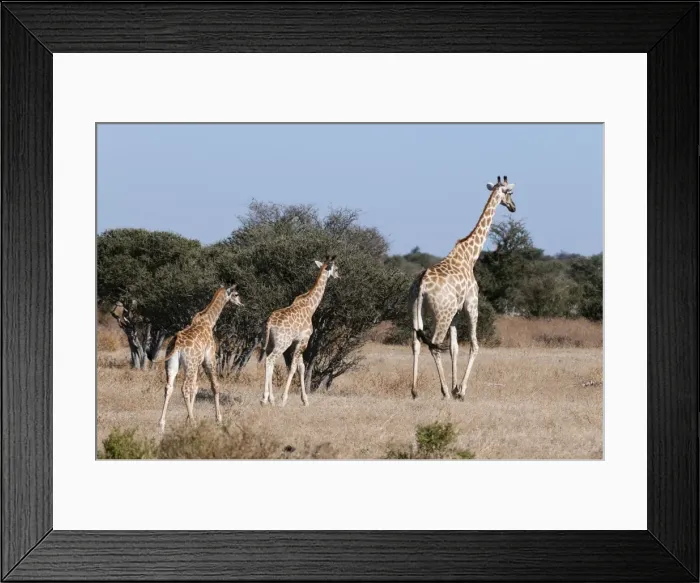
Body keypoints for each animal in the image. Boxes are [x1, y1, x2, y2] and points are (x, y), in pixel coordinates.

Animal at [156, 284, 243, 432]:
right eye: (236, 294)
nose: (241, 303)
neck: (209, 321)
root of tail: (177, 344)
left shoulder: (197, 364)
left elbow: (195, 387)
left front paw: (187, 418)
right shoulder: (209, 359)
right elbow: (215, 386)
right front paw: (218, 418)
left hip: (173, 364)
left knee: (169, 387)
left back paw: (162, 424)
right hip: (190, 364)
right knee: (184, 388)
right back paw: (193, 422)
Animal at [259, 255, 340, 407]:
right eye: (336, 268)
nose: (339, 276)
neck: (311, 306)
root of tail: (269, 322)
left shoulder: (297, 342)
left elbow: (301, 367)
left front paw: (305, 400)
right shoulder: (304, 341)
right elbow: (293, 367)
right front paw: (284, 399)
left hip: (271, 343)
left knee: (269, 362)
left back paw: (270, 399)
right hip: (282, 344)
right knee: (270, 360)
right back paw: (265, 398)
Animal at [410, 176, 516, 400]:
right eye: (510, 193)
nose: (513, 207)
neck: (470, 256)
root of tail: (421, 285)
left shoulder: (456, 313)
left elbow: (454, 347)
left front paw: (455, 385)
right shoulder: (471, 304)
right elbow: (474, 345)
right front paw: (460, 390)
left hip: (415, 309)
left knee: (416, 342)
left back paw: (414, 390)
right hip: (442, 313)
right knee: (434, 345)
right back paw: (444, 392)